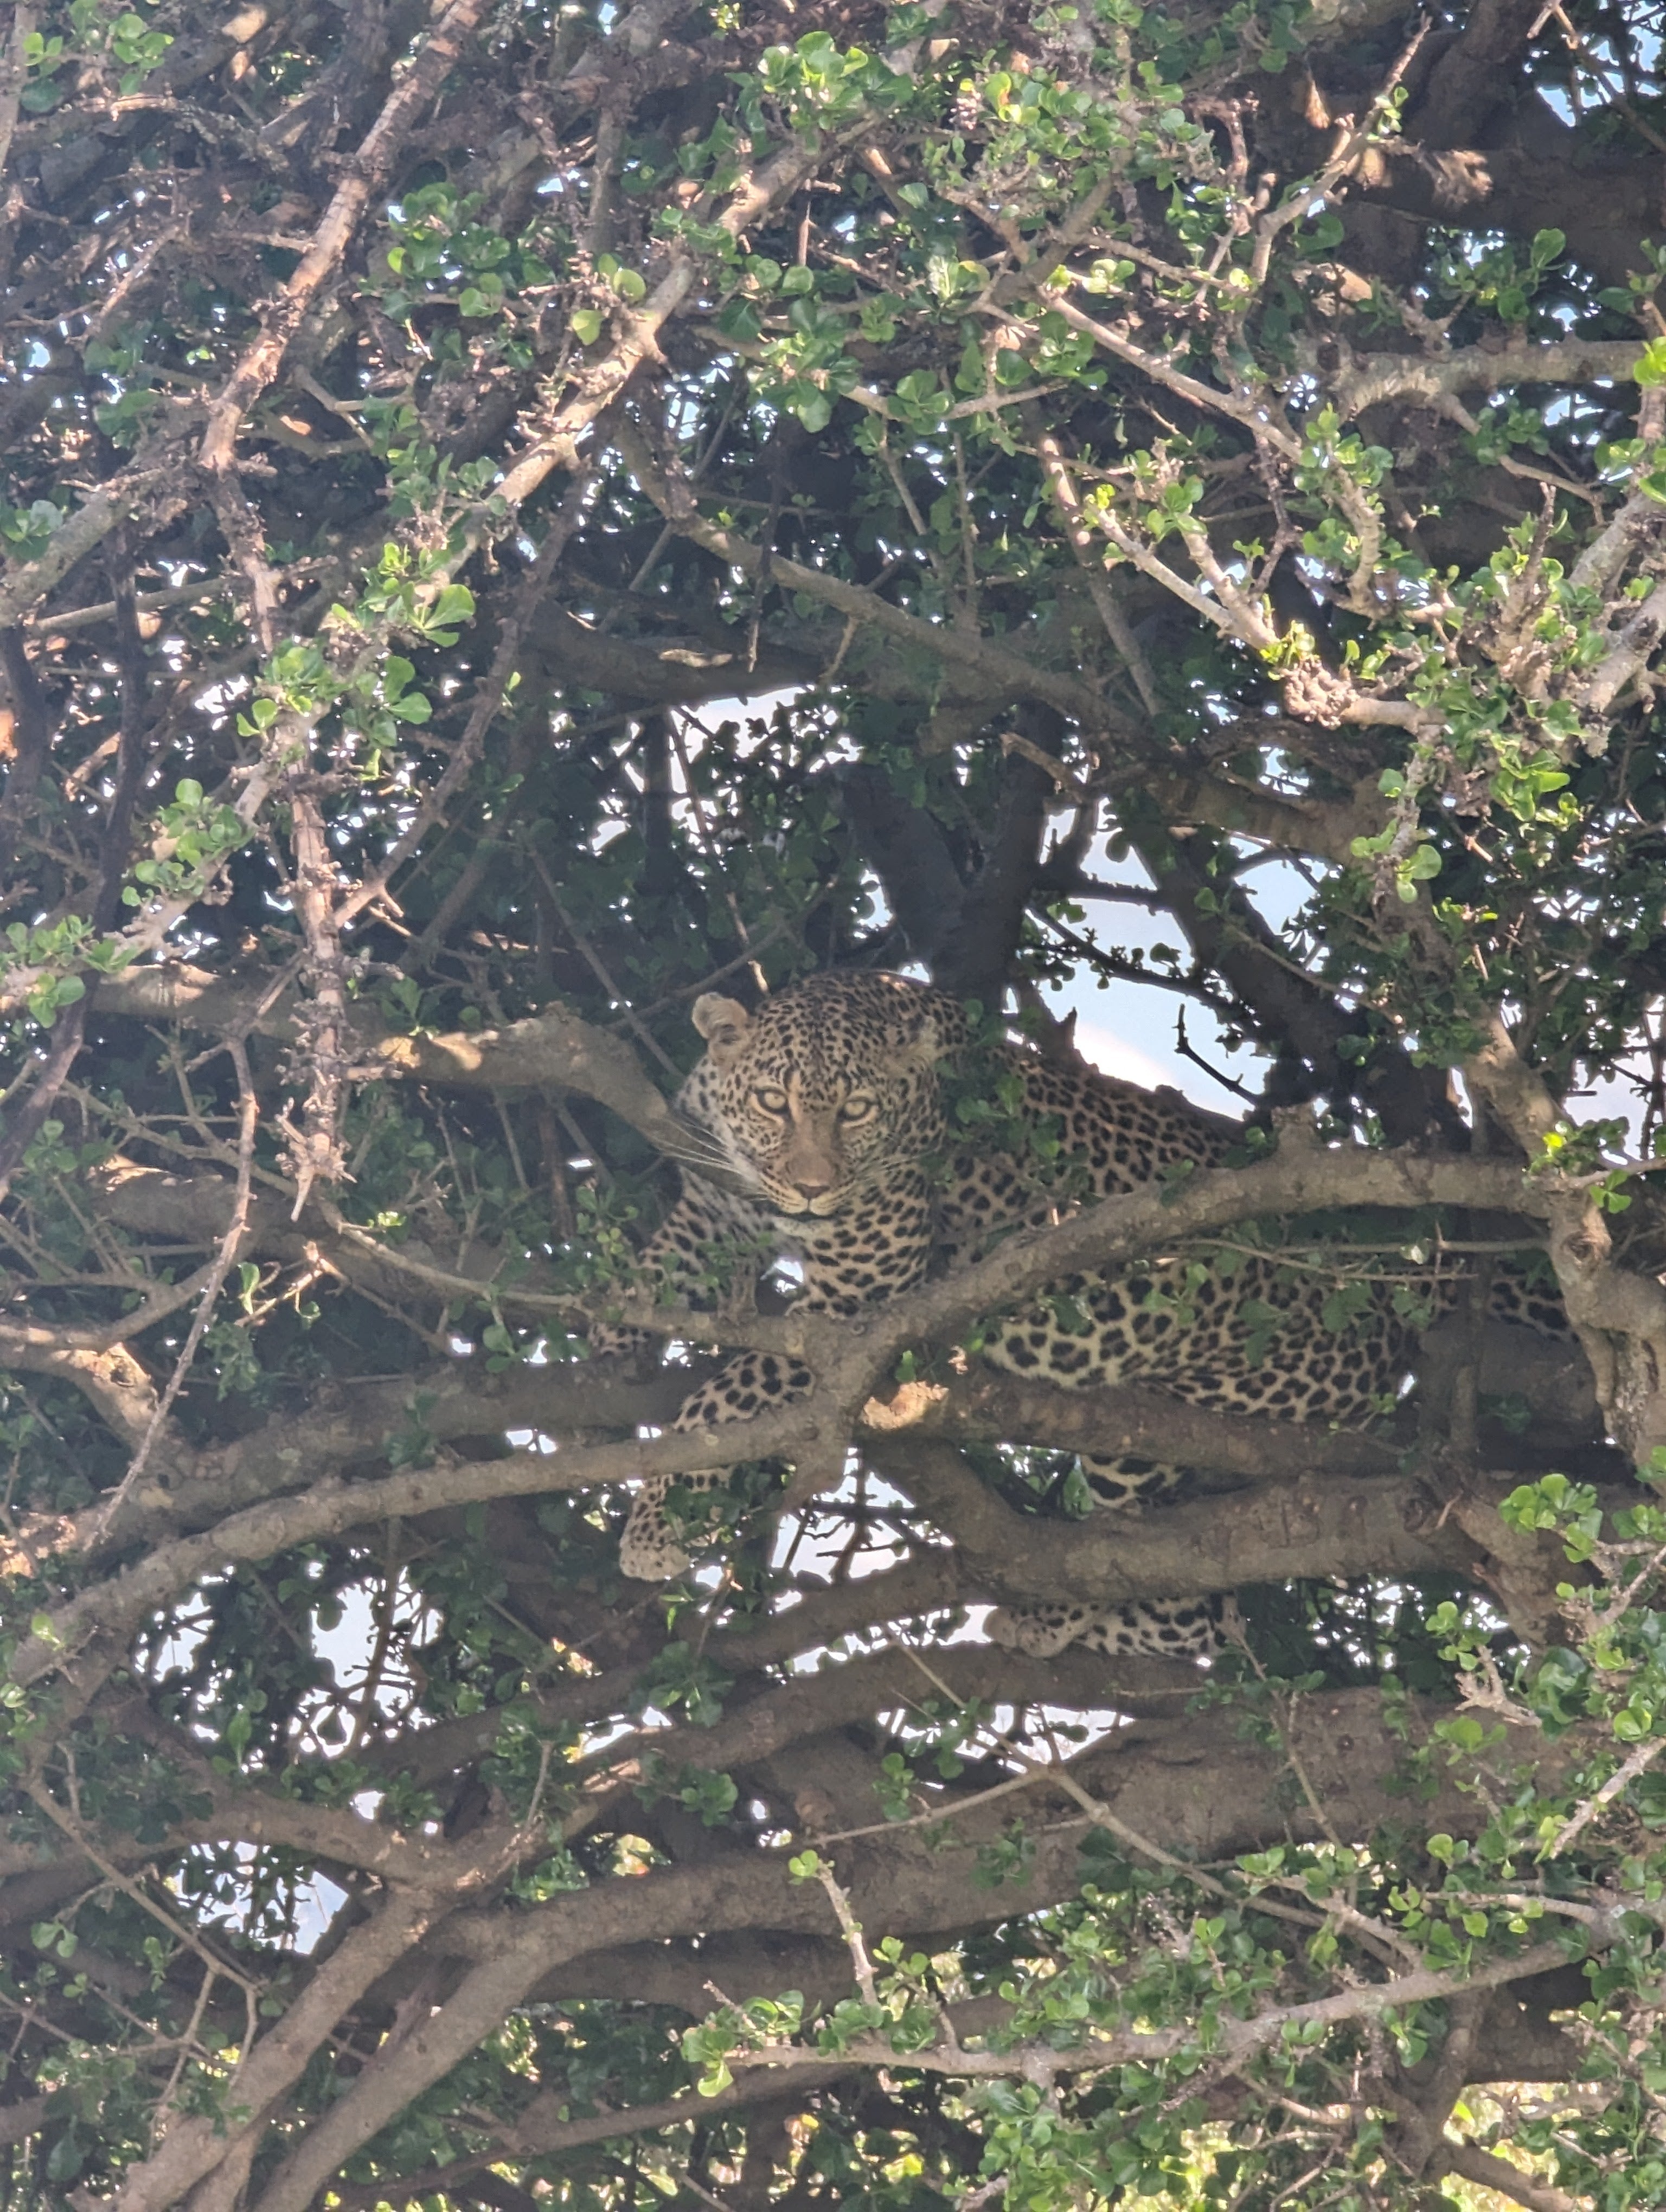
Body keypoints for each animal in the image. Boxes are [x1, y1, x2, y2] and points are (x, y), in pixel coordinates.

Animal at [601, 969, 1558, 1663]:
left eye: (858, 1112)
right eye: (775, 1103)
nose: (810, 1187)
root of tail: (1401, 1276)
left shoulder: (854, 1308)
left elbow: (729, 1392)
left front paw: (654, 1525)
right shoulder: (714, 1207)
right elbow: (649, 1270)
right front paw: (605, 1343)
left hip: (1154, 1437)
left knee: (1178, 1603)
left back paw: (1043, 1620)